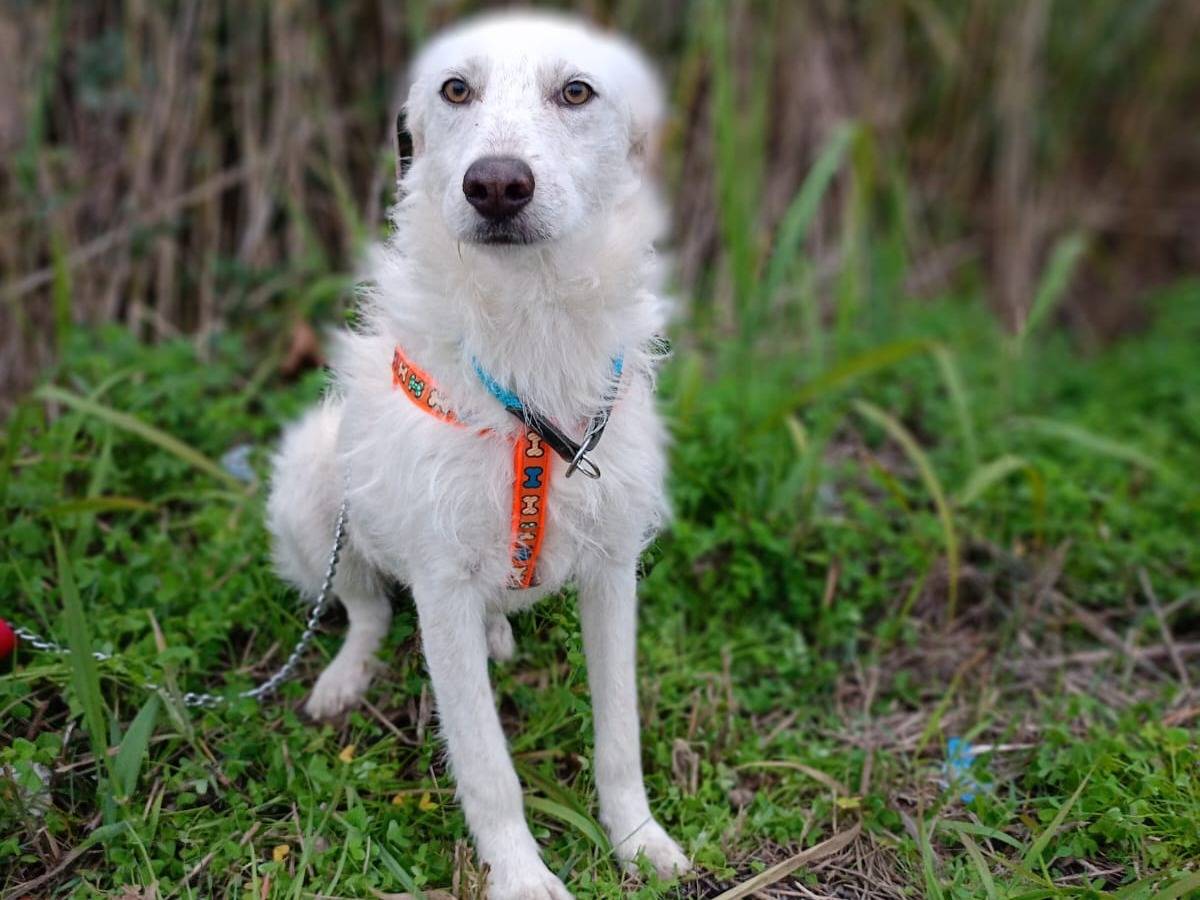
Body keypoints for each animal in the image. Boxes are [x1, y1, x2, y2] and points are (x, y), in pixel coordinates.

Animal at [267, 10, 691, 897]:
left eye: (577, 91)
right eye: (455, 89)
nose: (495, 186)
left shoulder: (613, 571)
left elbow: (620, 733)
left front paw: (638, 840)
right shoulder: (442, 587)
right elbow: (487, 764)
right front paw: (522, 876)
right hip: (311, 487)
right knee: (362, 607)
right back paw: (343, 678)